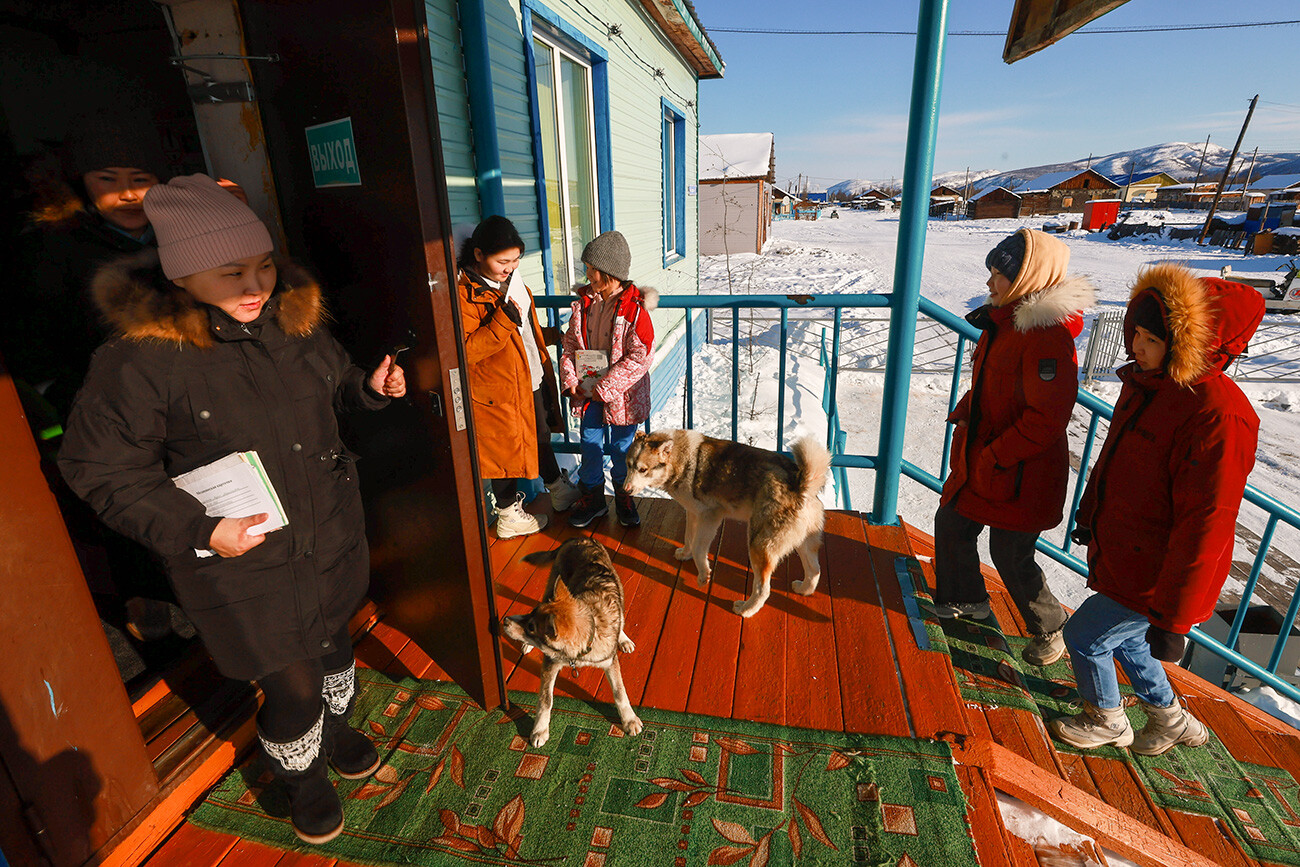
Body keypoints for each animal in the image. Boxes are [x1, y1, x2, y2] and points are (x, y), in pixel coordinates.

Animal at [499, 535, 642, 748]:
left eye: (532, 628)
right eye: (531, 618)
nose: (505, 620)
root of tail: (580, 538)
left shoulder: (610, 663)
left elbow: (619, 692)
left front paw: (629, 719)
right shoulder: (550, 663)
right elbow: (545, 700)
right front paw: (540, 730)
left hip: (618, 589)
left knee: (621, 617)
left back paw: (622, 638)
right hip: (552, 586)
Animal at [621, 428, 826, 616]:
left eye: (643, 469)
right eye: (628, 465)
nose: (624, 490)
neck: (683, 459)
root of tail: (801, 485)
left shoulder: (710, 516)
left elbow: (699, 549)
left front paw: (703, 576)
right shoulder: (693, 513)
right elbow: (689, 538)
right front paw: (685, 554)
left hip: (758, 545)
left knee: (763, 589)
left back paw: (745, 609)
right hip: (804, 544)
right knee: (815, 570)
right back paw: (803, 589)